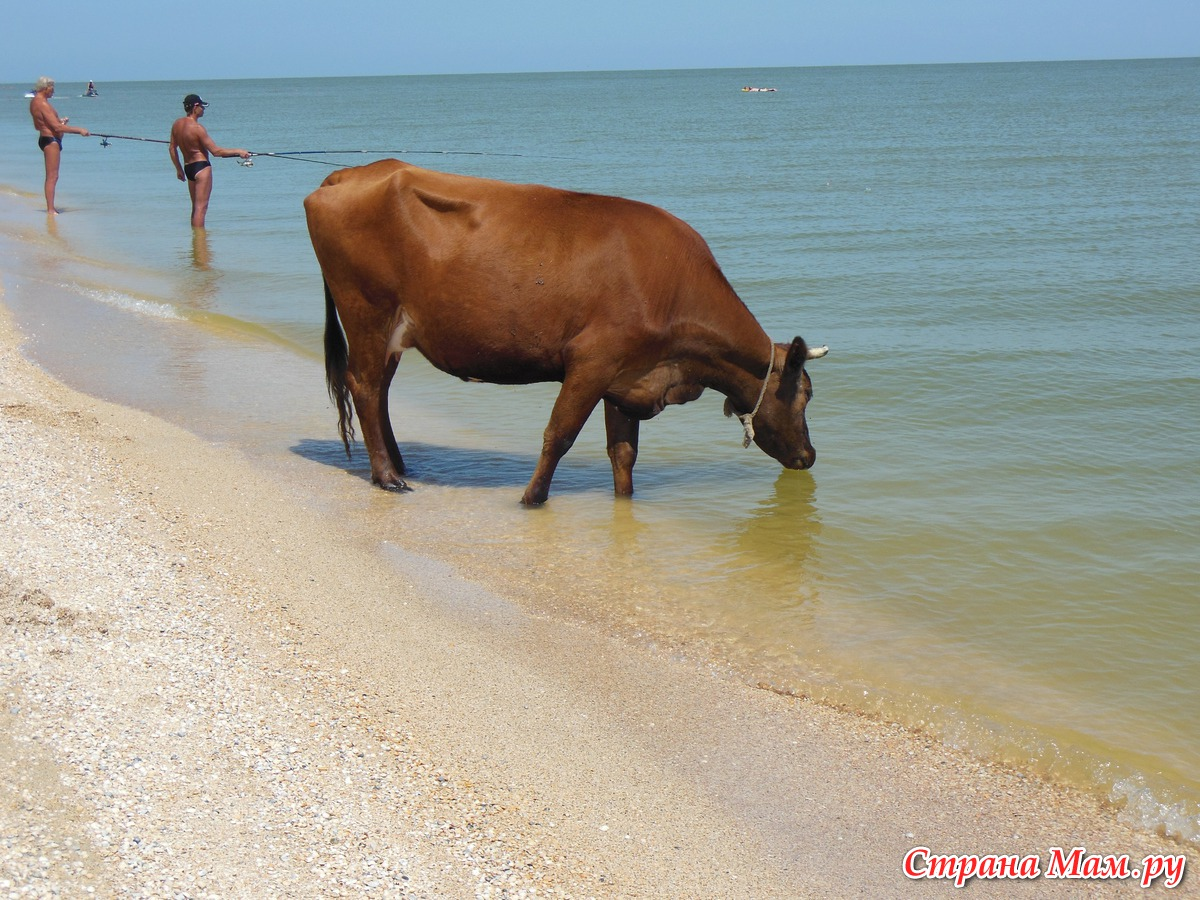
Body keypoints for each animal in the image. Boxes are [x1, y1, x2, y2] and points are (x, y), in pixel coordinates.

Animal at [302, 158, 825, 504]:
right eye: (804, 395)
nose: (810, 455)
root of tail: (355, 171)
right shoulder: (593, 361)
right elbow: (560, 434)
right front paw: (531, 499)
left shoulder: (629, 376)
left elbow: (623, 453)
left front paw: (623, 502)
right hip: (367, 311)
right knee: (364, 386)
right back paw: (387, 476)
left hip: (391, 330)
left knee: (380, 393)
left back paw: (399, 463)